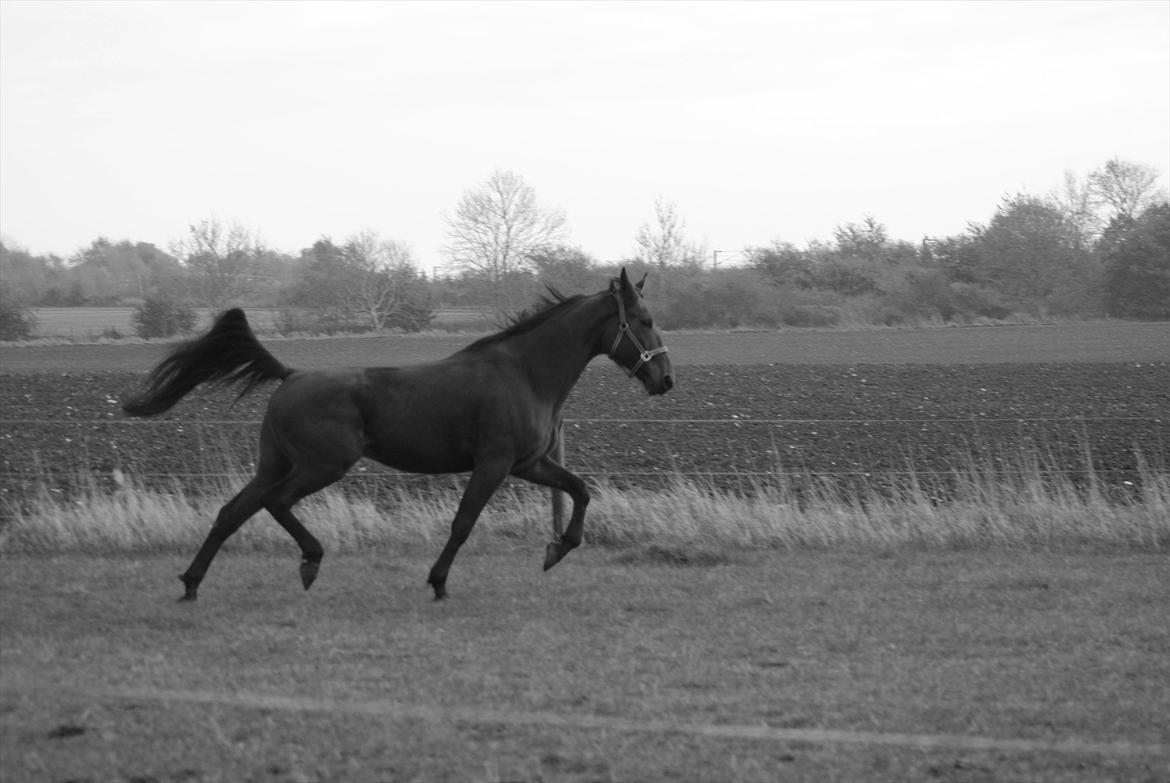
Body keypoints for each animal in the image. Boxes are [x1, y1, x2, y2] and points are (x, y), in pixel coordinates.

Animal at [123, 269, 673, 599]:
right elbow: (463, 524)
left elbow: (581, 490)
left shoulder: (530, 464)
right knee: (275, 504)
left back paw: (192, 583)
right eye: (645, 320)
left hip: (277, 463)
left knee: (234, 511)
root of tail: (291, 375)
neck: (524, 373)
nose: (665, 379)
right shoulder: (494, 465)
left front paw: (556, 550)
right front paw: (438, 582)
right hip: (322, 465)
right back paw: (309, 561)